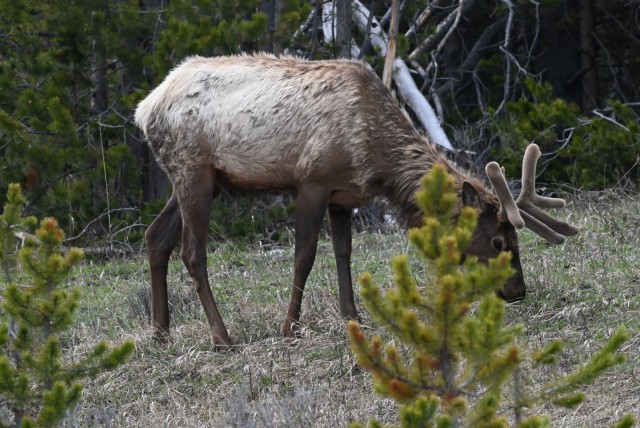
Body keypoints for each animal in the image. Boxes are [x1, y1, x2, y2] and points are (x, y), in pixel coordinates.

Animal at [135, 53, 580, 348]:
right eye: (498, 240)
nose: (518, 290)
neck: (375, 158)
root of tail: (144, 108)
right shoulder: (311, 181)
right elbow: (305, 255)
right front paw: (290, 328)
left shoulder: (342, 195)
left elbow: (344, 253)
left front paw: (352, 317)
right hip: (193, 169)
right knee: (192, 251)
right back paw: (222, 337)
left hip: (203, 180)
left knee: (156, 236)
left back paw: (160, 332)